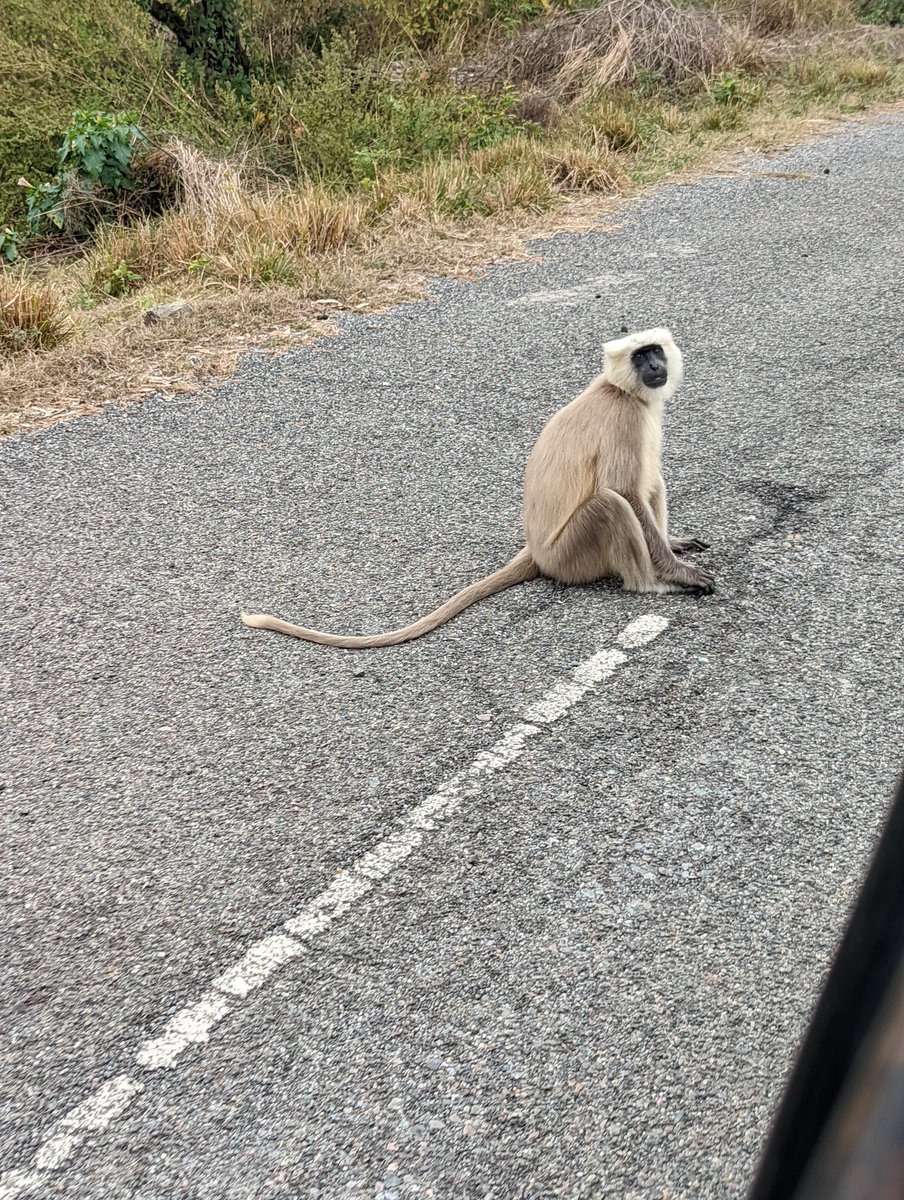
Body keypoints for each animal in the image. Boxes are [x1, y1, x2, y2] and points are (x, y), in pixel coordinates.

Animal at [241, 327, 714, 649]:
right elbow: (627, 493)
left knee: (651, 483)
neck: (620, 391)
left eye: (655, 351)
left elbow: (646, 488)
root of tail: (536, 551)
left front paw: (675, 544)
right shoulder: (623, 421)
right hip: (572, 555)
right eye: (640, 355)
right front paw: (677, 572)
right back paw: (650, 585)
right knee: (611, 503)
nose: (654, 366)